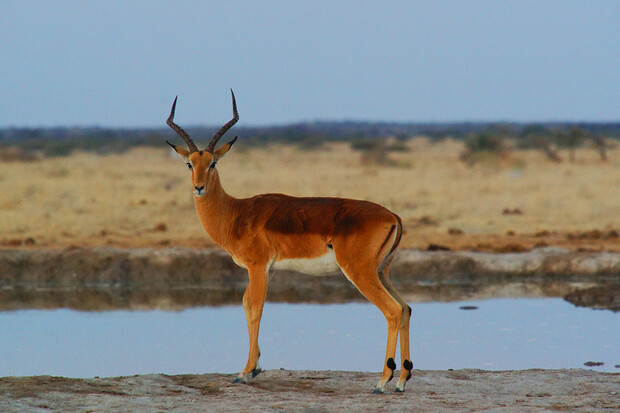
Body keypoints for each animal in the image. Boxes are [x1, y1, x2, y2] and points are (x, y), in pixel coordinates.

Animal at [167, 91, 414, 392]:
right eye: (189, 164)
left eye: (213, 163)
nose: (199, 187)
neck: (236, 214)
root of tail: (392, 215)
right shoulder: (268, 269)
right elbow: (247, 303)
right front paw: (254, 368)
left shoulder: (257, 266)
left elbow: (255, 307)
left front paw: (246, 372)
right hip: (382, 271)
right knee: (406, 308)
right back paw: (401, 381)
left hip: (360, 272)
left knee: (392, 311)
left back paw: (382, 381)